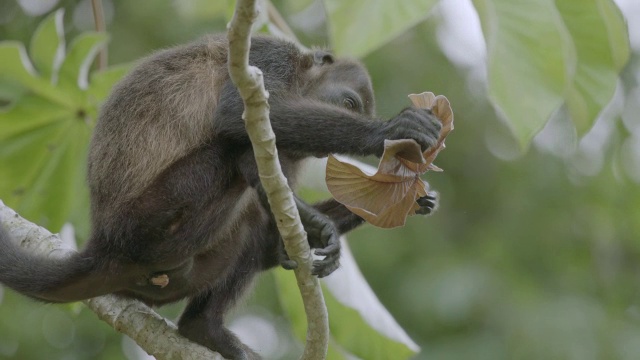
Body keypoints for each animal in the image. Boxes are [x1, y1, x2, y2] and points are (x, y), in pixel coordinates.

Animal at [0, 34, 440, 360]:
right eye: (349, 105)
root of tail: (104, 242)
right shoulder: (267, 56)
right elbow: (232, 116)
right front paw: (386, 132)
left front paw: (409, 197)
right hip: (149, 221)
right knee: (231, 148)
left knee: (248, 229)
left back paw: (205, 327)